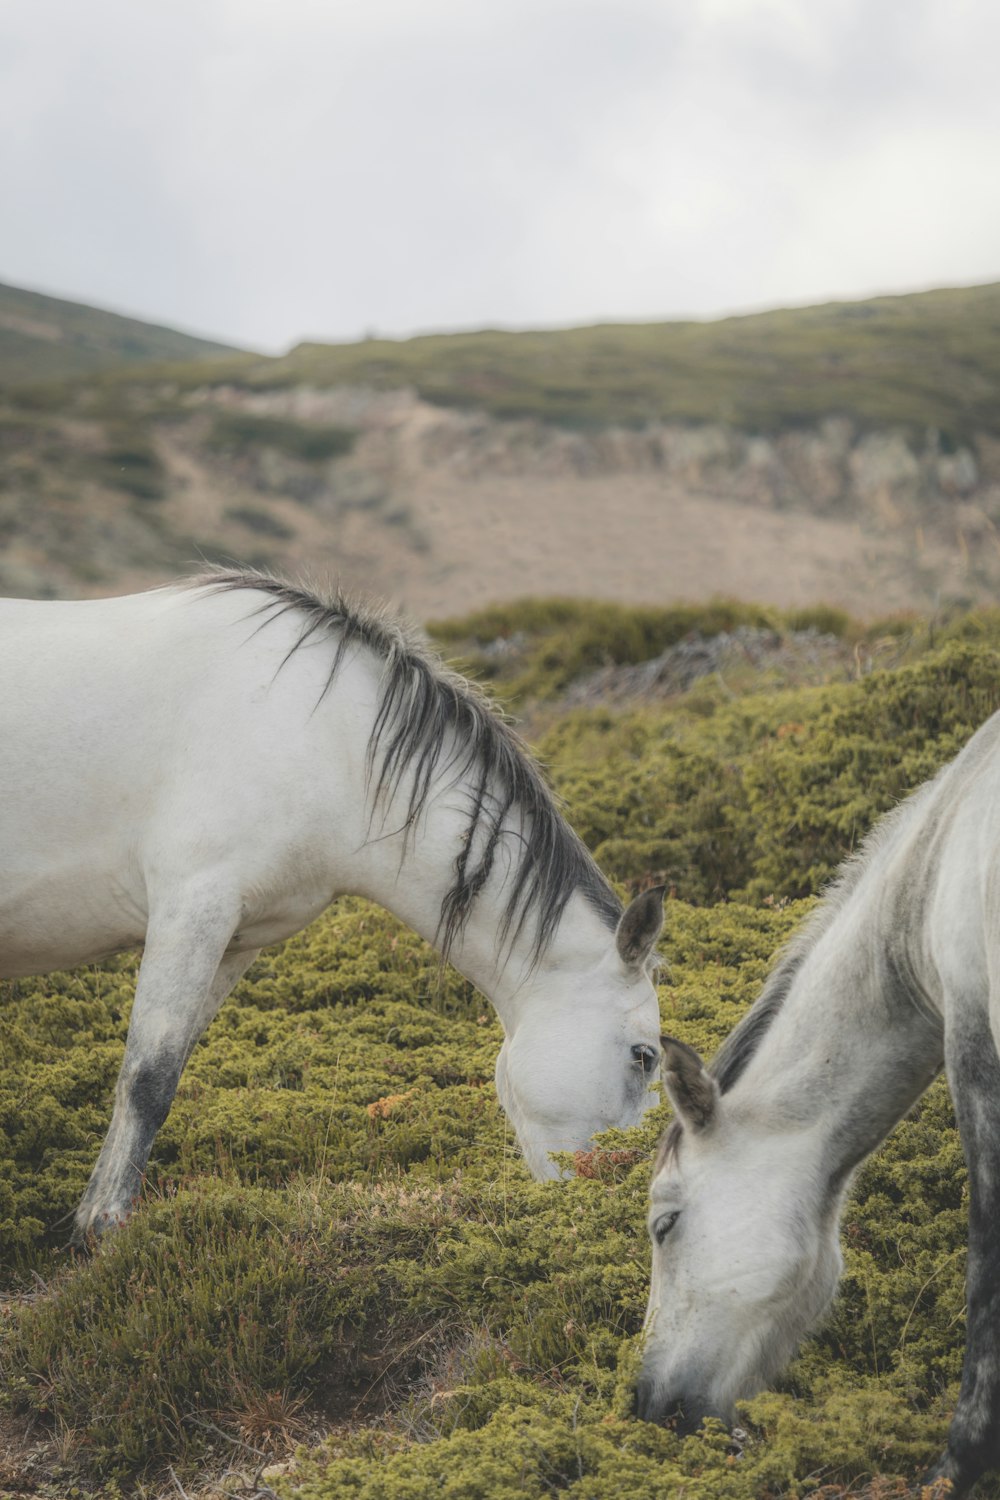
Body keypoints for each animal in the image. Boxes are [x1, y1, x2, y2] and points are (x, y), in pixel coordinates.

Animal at [3, 570, 668, 1242]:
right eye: (645, 1057)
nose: (620, 1191)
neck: (324, 742)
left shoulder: (235, 939)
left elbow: (168, 1067)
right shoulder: (190, 909)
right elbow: (148, 1079)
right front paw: (103, 1226)